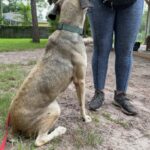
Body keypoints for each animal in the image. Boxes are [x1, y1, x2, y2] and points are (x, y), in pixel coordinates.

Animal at [9, 0, 91, 146]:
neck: (68, 28)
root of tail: (15, 126)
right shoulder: (80, 81)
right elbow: (82, 103)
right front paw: (85, 118)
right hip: (54, 109)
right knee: (39, 140)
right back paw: (59, 130)